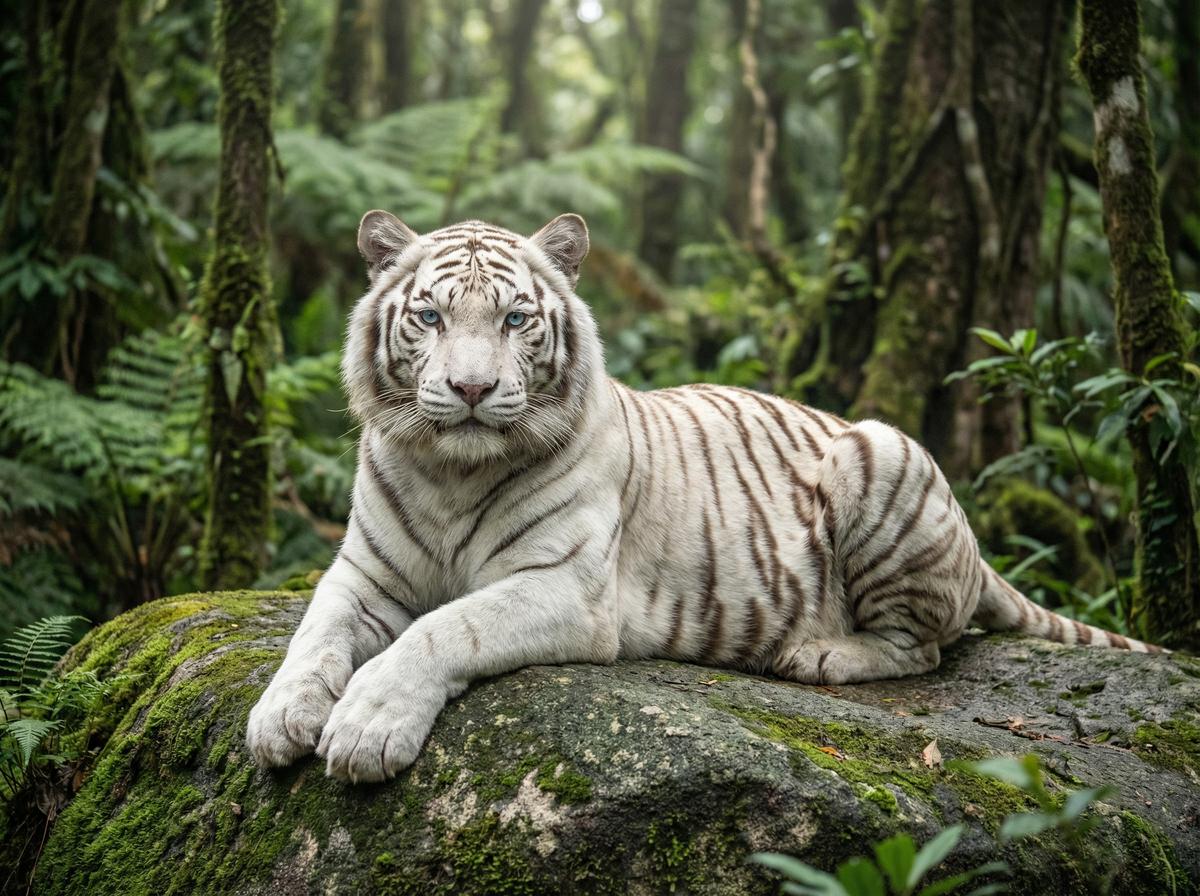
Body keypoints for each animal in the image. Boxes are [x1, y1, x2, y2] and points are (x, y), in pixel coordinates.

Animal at [246, 210, 1161, 783]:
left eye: (513, 321)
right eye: (431, 317)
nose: (471, 390)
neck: (450, 471)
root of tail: (974, 545)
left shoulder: (564, 588)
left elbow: (442, 630)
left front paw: (365, 727)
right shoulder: (362, 575)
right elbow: (313, 634)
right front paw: (279, 717)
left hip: (880, 452)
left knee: (928, 646)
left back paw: (819, 653)